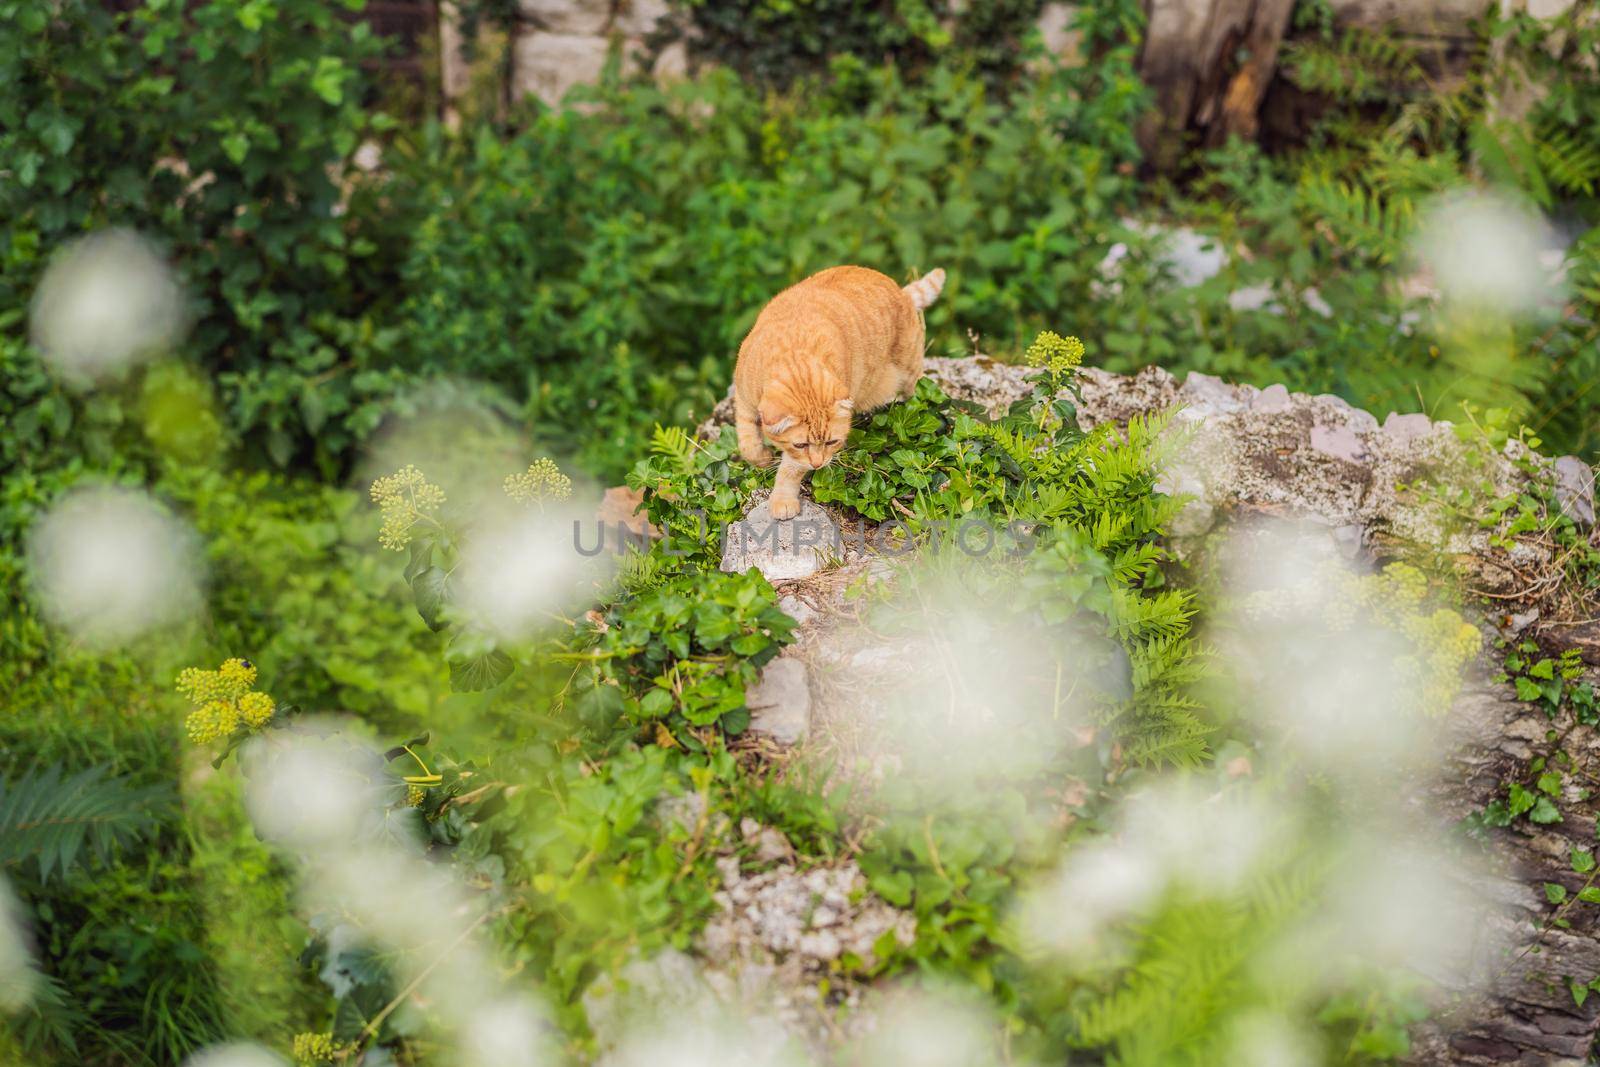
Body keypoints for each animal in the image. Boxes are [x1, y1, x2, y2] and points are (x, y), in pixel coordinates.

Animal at [732, 265, 940, 518]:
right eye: (800, 445)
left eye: (832, 442)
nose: (818, 464)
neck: (796, 354)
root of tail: (900, 291)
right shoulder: (743, 398)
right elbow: (747, 441)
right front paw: (761, 458)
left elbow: (790, 469)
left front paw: (783, 499)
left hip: (909, 373)